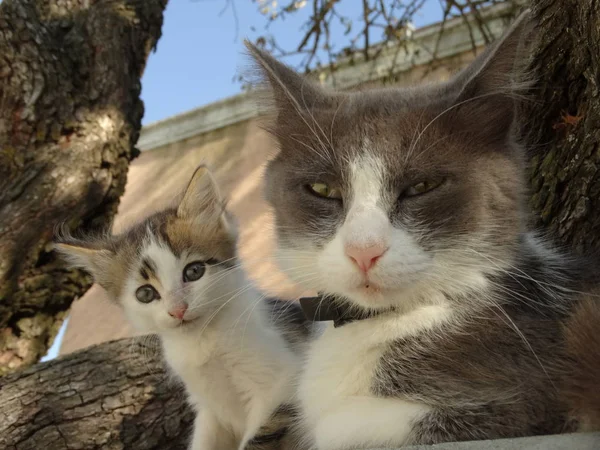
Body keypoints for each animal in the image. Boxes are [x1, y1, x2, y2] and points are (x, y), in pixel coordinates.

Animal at [54, 166, 308, 450]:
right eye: (145, 294)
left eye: (194, 271)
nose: (178, 309)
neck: (201, 341)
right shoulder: (208, 410)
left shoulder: (280, 385)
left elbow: (259, 439)